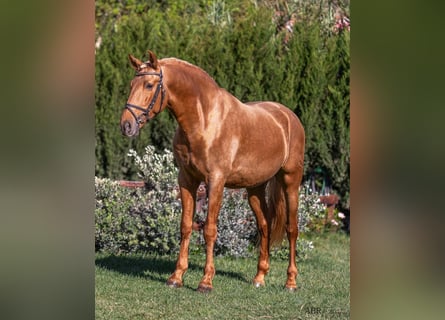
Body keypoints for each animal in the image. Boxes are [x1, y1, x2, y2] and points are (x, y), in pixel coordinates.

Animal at [119, 50, 304, 292]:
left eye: (149, 85)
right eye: (132, 84)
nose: (126, 125)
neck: (203, 120)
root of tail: (288, 117)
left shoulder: (215, 181)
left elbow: (209, 229)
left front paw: (206, 281)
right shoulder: (187, 180)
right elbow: (186, 226)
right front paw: (176, 277)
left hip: (291, 181)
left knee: (292, 229)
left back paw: (290, 282)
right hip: (255, 188)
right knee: (264, 226)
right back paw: (259, 278)